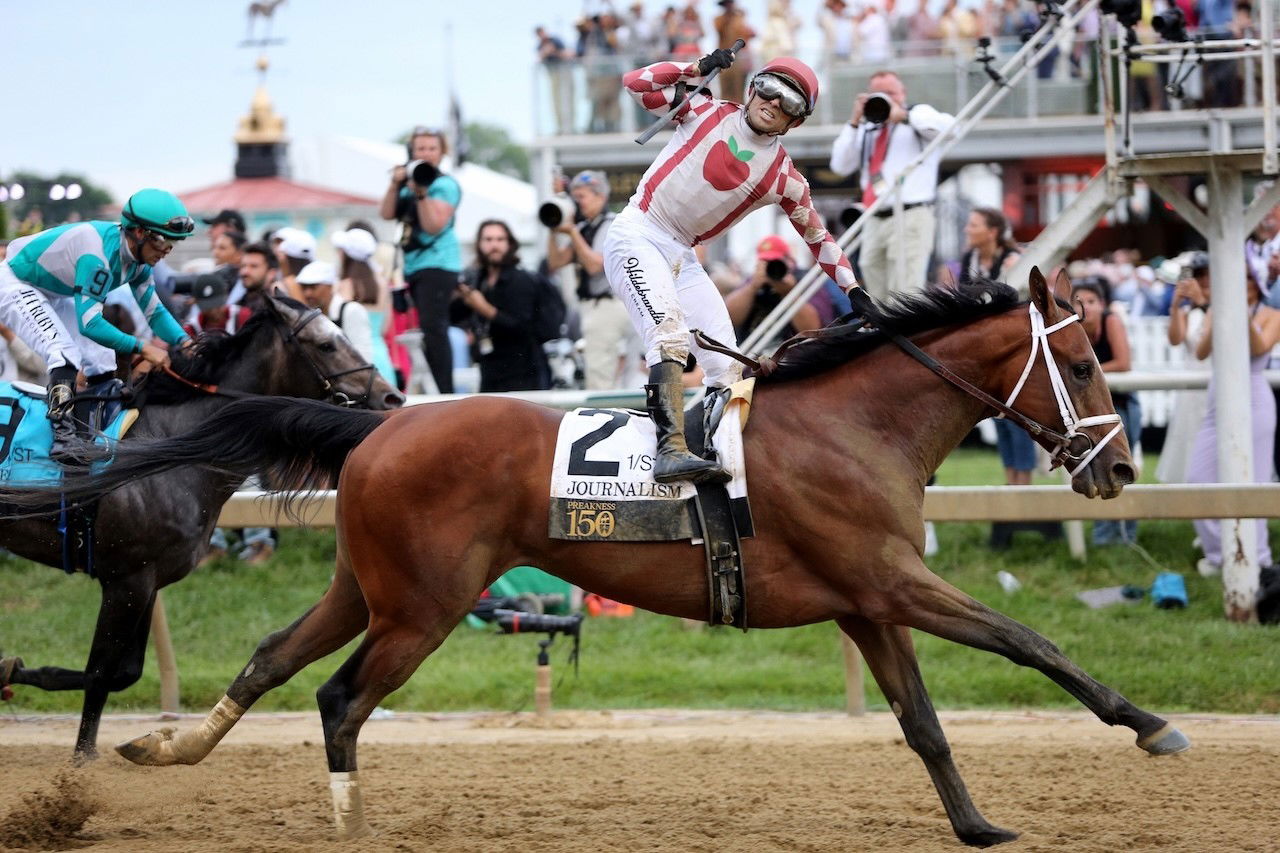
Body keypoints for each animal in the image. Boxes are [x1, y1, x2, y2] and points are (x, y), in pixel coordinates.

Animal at [0, 293, 403, 760]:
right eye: (326, 345)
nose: (392, 396)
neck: (169, 445)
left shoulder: (147, 579)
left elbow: (123, 673)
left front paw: (8, 670)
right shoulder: (126, 578)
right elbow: (100, 672)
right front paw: (81, 762)